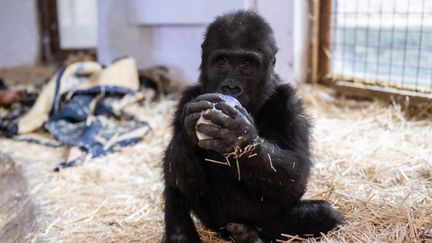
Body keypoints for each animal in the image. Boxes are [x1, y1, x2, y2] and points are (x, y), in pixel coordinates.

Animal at [163, 10, 344, 242]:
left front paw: (239, 135)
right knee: (174, 188)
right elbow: (175, 173)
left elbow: (297, 176)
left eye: (247, 64)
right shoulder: (185, 100)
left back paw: (248, 234)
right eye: (222, 62)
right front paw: (188, 135)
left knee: (322, 214)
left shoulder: (290, 105)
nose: (231, 87)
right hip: (213, 223)